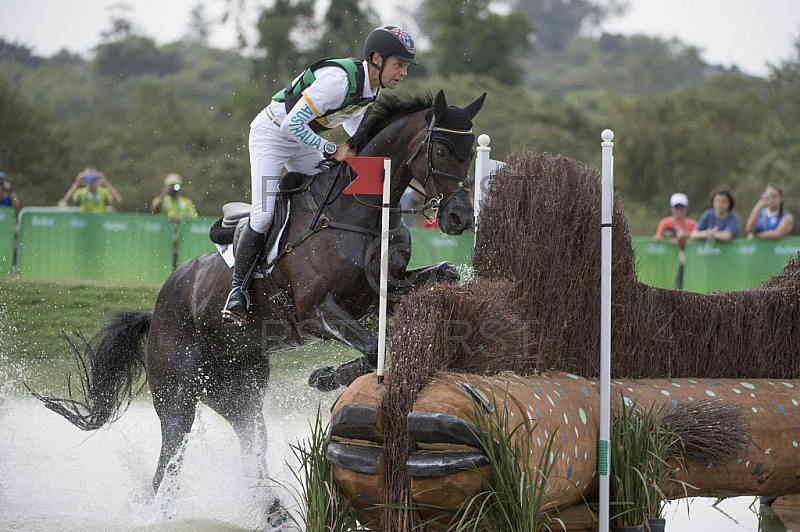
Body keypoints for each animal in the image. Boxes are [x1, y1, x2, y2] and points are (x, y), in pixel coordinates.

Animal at [29, 90, 488, 494]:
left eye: (470, 152)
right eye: (441, 150)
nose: (460, 217)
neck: (357, 211)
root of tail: (156, 312)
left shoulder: (383, 293)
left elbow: (440, 279)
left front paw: (326, 376)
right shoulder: (316, 311)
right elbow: (378, 347)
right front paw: (327, 376)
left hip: (239, 395)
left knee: (249, 447)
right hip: (178, 399)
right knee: (167, 466)